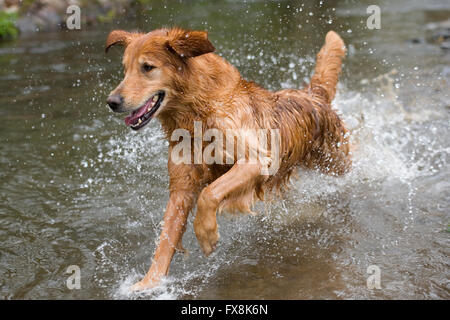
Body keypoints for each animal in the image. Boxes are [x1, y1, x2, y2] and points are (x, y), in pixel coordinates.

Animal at [104, 27, 352, 290]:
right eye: (125, 69)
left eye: (147, 67)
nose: (112, 102)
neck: (197, 113)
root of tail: (313, 95)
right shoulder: (182, 185)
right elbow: (166, 239)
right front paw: (149, 283)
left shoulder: (257, 161)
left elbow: (209, 193)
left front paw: (206, 234)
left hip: (336, 161)